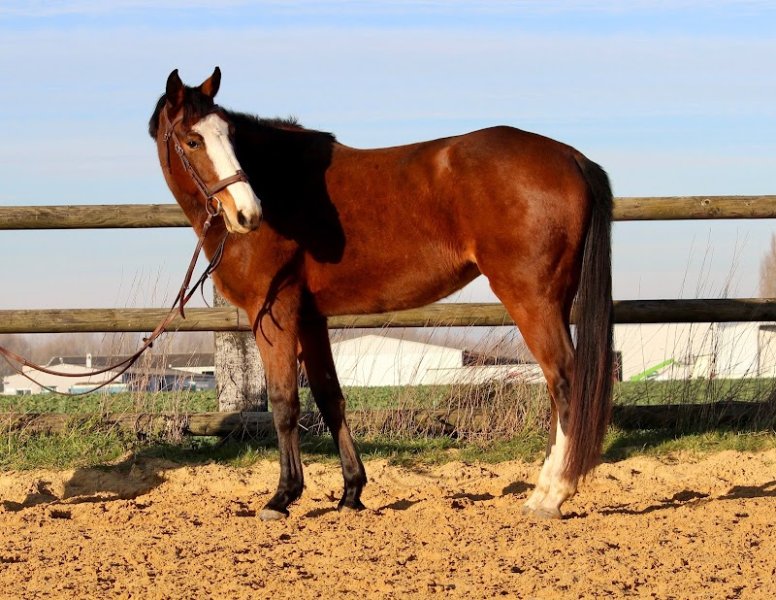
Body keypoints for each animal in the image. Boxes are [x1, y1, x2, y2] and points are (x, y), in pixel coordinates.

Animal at [149, 67, 613, 521]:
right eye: (193, 140)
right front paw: (351, 493)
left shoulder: (274, 312)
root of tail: (572, 158)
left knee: (564, 380)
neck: (282, 186)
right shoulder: (311, 317)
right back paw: (542, 491)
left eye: (229, 137)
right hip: (555, 300)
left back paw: (553, 495)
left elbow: (284, 403)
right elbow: (330, 397)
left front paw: (282, 497)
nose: (248, 213)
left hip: (531, 299)